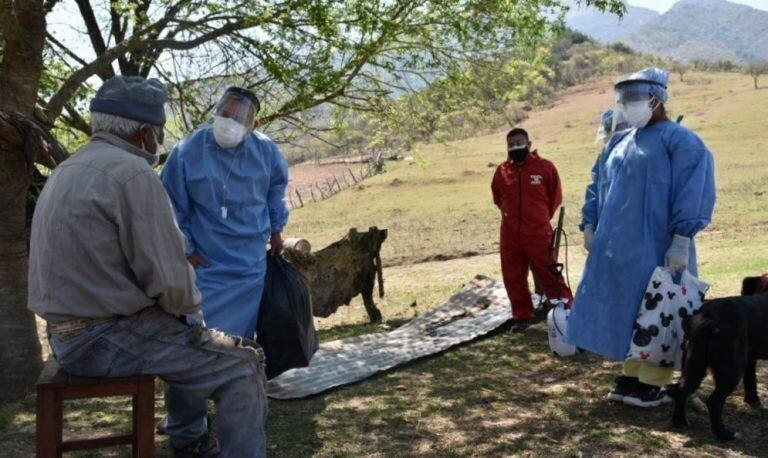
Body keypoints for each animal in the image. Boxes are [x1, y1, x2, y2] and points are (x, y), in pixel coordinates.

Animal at [664, 276, 768, 440]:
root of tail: (708, 317)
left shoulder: (750, 358)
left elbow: (751, 380)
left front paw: (753, 401)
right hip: (731, 369)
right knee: (714, 401)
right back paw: (724, 434)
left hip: (694, 363)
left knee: (682, 388)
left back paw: (680, 421)